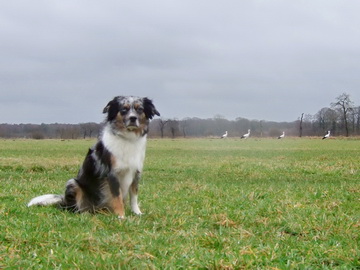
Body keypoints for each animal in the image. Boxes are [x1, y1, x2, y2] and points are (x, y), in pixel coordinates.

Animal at [28, 96, 161, 218]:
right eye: (124, 109)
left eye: (140, 109)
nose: (133, 118)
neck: (128, 139)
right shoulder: (112, 174)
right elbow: (117, 197)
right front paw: (121, 217)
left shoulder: (136, 172)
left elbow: (134, 196)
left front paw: (137, 213)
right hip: (73, 183)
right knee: (75, 208)